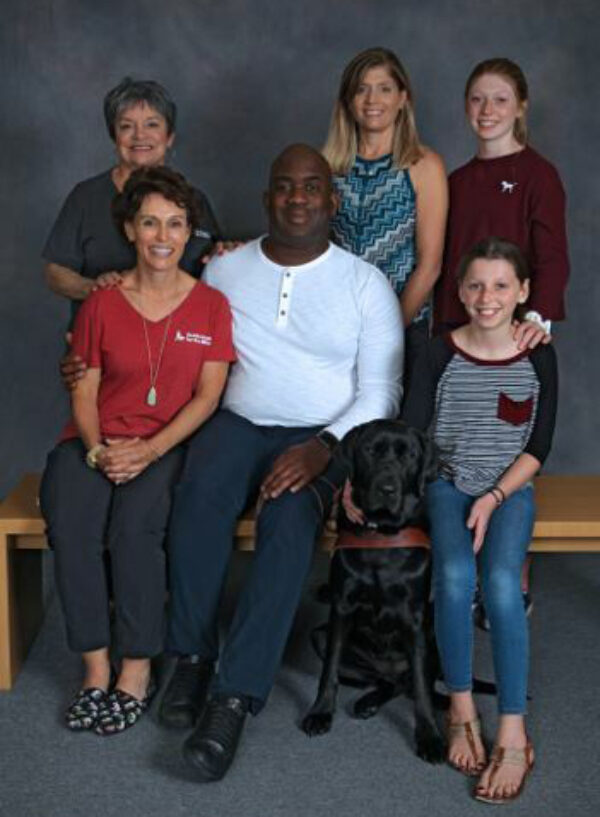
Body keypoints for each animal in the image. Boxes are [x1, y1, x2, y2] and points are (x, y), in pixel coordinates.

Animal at [300, 418, 446, 760]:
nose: (387, 488)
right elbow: (329, 671)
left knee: (410, 683)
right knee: (385, 683)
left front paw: (429, 736)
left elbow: (422, 686)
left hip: (435, 641)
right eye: (370, 451)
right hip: (322, 638)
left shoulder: (414, 621)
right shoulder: (341, 608)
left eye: (409, 455)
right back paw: (368, 700)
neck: (381, 536)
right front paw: (321, 711)